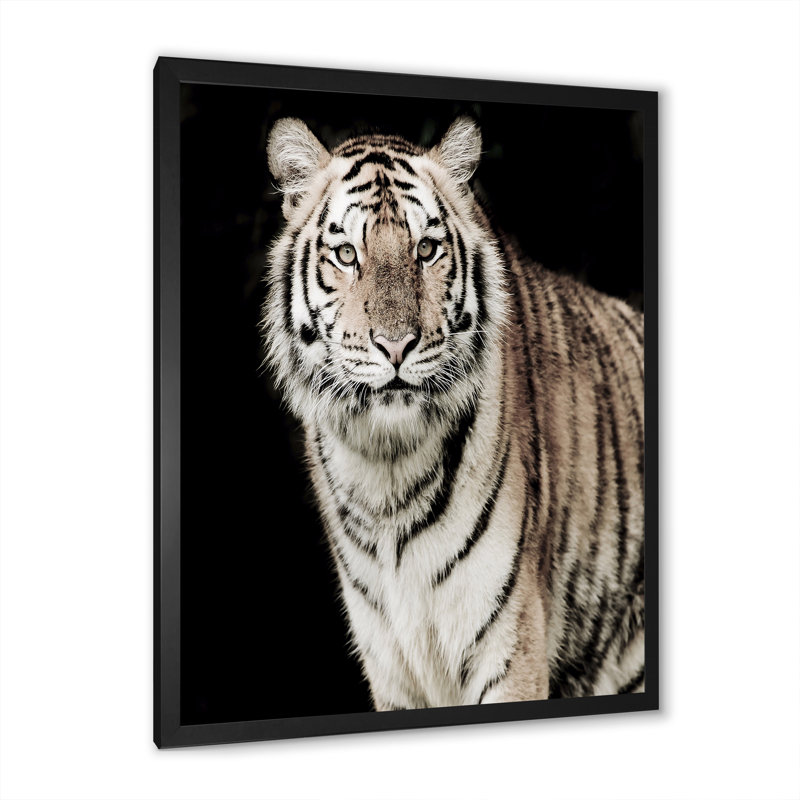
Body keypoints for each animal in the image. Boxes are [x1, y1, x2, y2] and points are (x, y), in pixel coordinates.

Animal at [261, 116, 645, 710]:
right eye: (347, 254)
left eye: (426, 249)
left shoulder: (508, 644)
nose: (396, 345)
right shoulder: (390, 665)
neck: (385, 471)